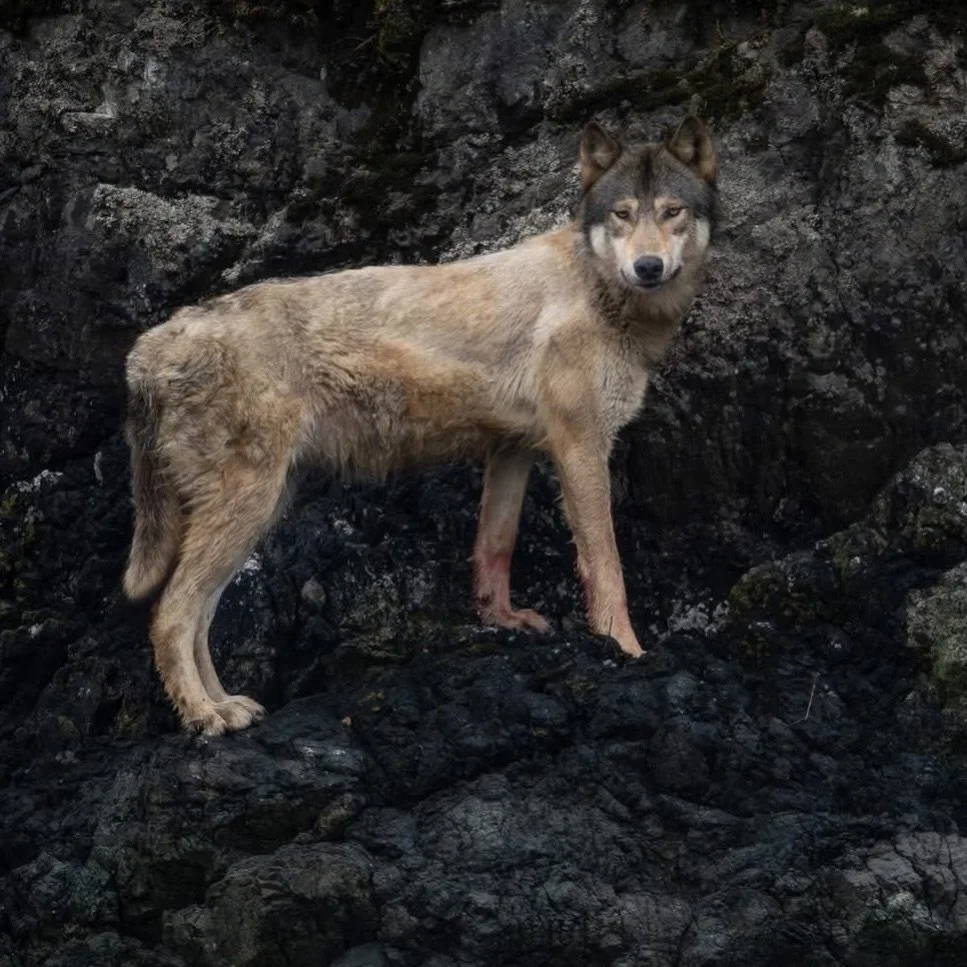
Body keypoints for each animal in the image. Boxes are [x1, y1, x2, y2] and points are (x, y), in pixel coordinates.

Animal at [122, 116, 718, 735]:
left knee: (196, 617)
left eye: (672, 211)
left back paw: (224, 705)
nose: (647, 267)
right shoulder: (580, 448)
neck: (601, 291)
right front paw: (627, 651)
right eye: (622, 214)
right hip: (247, 510)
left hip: (258, 511)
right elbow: (607, 567)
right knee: (171, 614)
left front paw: (501, 621)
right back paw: (203, 716)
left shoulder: (515, 450)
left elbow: (495, 546)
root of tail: (148, 347)